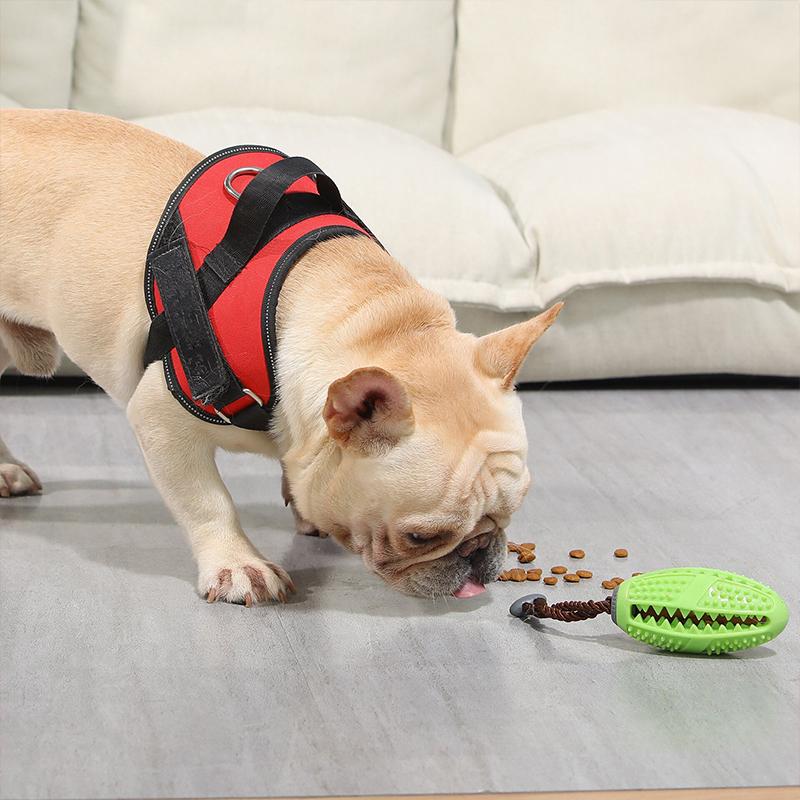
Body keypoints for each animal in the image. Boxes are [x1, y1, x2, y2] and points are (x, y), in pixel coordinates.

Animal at [0, 109, 564, 604]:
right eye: (421, 537)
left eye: (515, 509)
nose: (482, 552)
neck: (371, 314)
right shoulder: (161, 419)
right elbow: (207, 500)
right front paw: (238, 566)